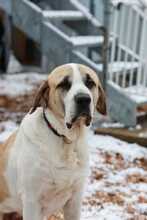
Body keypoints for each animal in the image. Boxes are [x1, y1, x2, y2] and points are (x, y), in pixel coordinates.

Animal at [0, 63, 105, 220]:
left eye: (90, 82)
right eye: (64, 84)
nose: (83, 99)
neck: (66, 140)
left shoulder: (75, 200)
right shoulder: (32, 201)